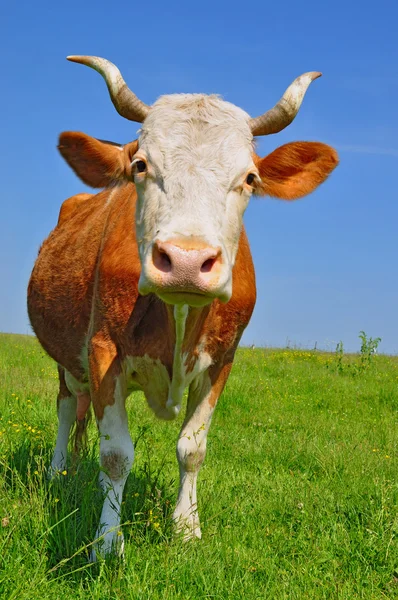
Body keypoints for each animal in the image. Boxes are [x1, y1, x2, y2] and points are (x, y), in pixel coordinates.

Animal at [28, 54, 338, 560]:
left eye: (249, 178)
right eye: (139, 165)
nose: (188, 261)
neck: (178, 321)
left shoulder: (223, 360)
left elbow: (192, 448)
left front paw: (186, 528)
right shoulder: (102, 351)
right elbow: (116, 455)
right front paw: (107, 543)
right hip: (66, 358)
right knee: (67, 405)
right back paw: (59, 472)